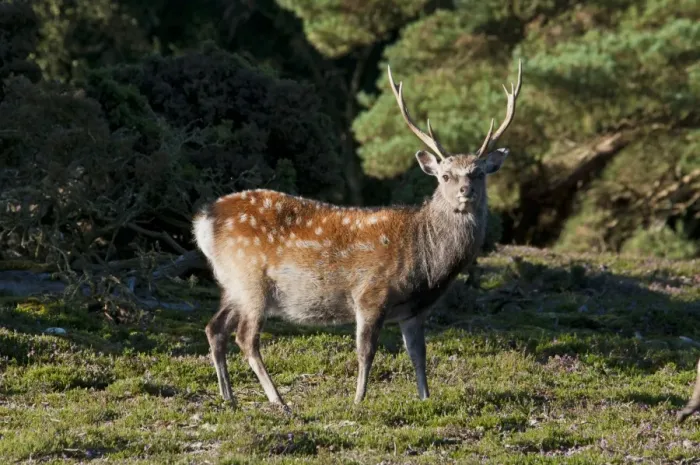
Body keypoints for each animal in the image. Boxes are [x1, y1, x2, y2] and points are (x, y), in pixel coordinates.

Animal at [192, 60, 523, 410]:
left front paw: (425, 398)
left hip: (233, 284)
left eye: (479, 173)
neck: (427, 263)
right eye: (445, 175)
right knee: (245, 338)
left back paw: (229, 397)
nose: (465, 192)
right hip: (251, 279)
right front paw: (358, 399)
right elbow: (366, 351)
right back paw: (279, 400)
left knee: (214, 328)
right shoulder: (370, 293)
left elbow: (418, 354)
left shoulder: (414, 309)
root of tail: (204, 219)